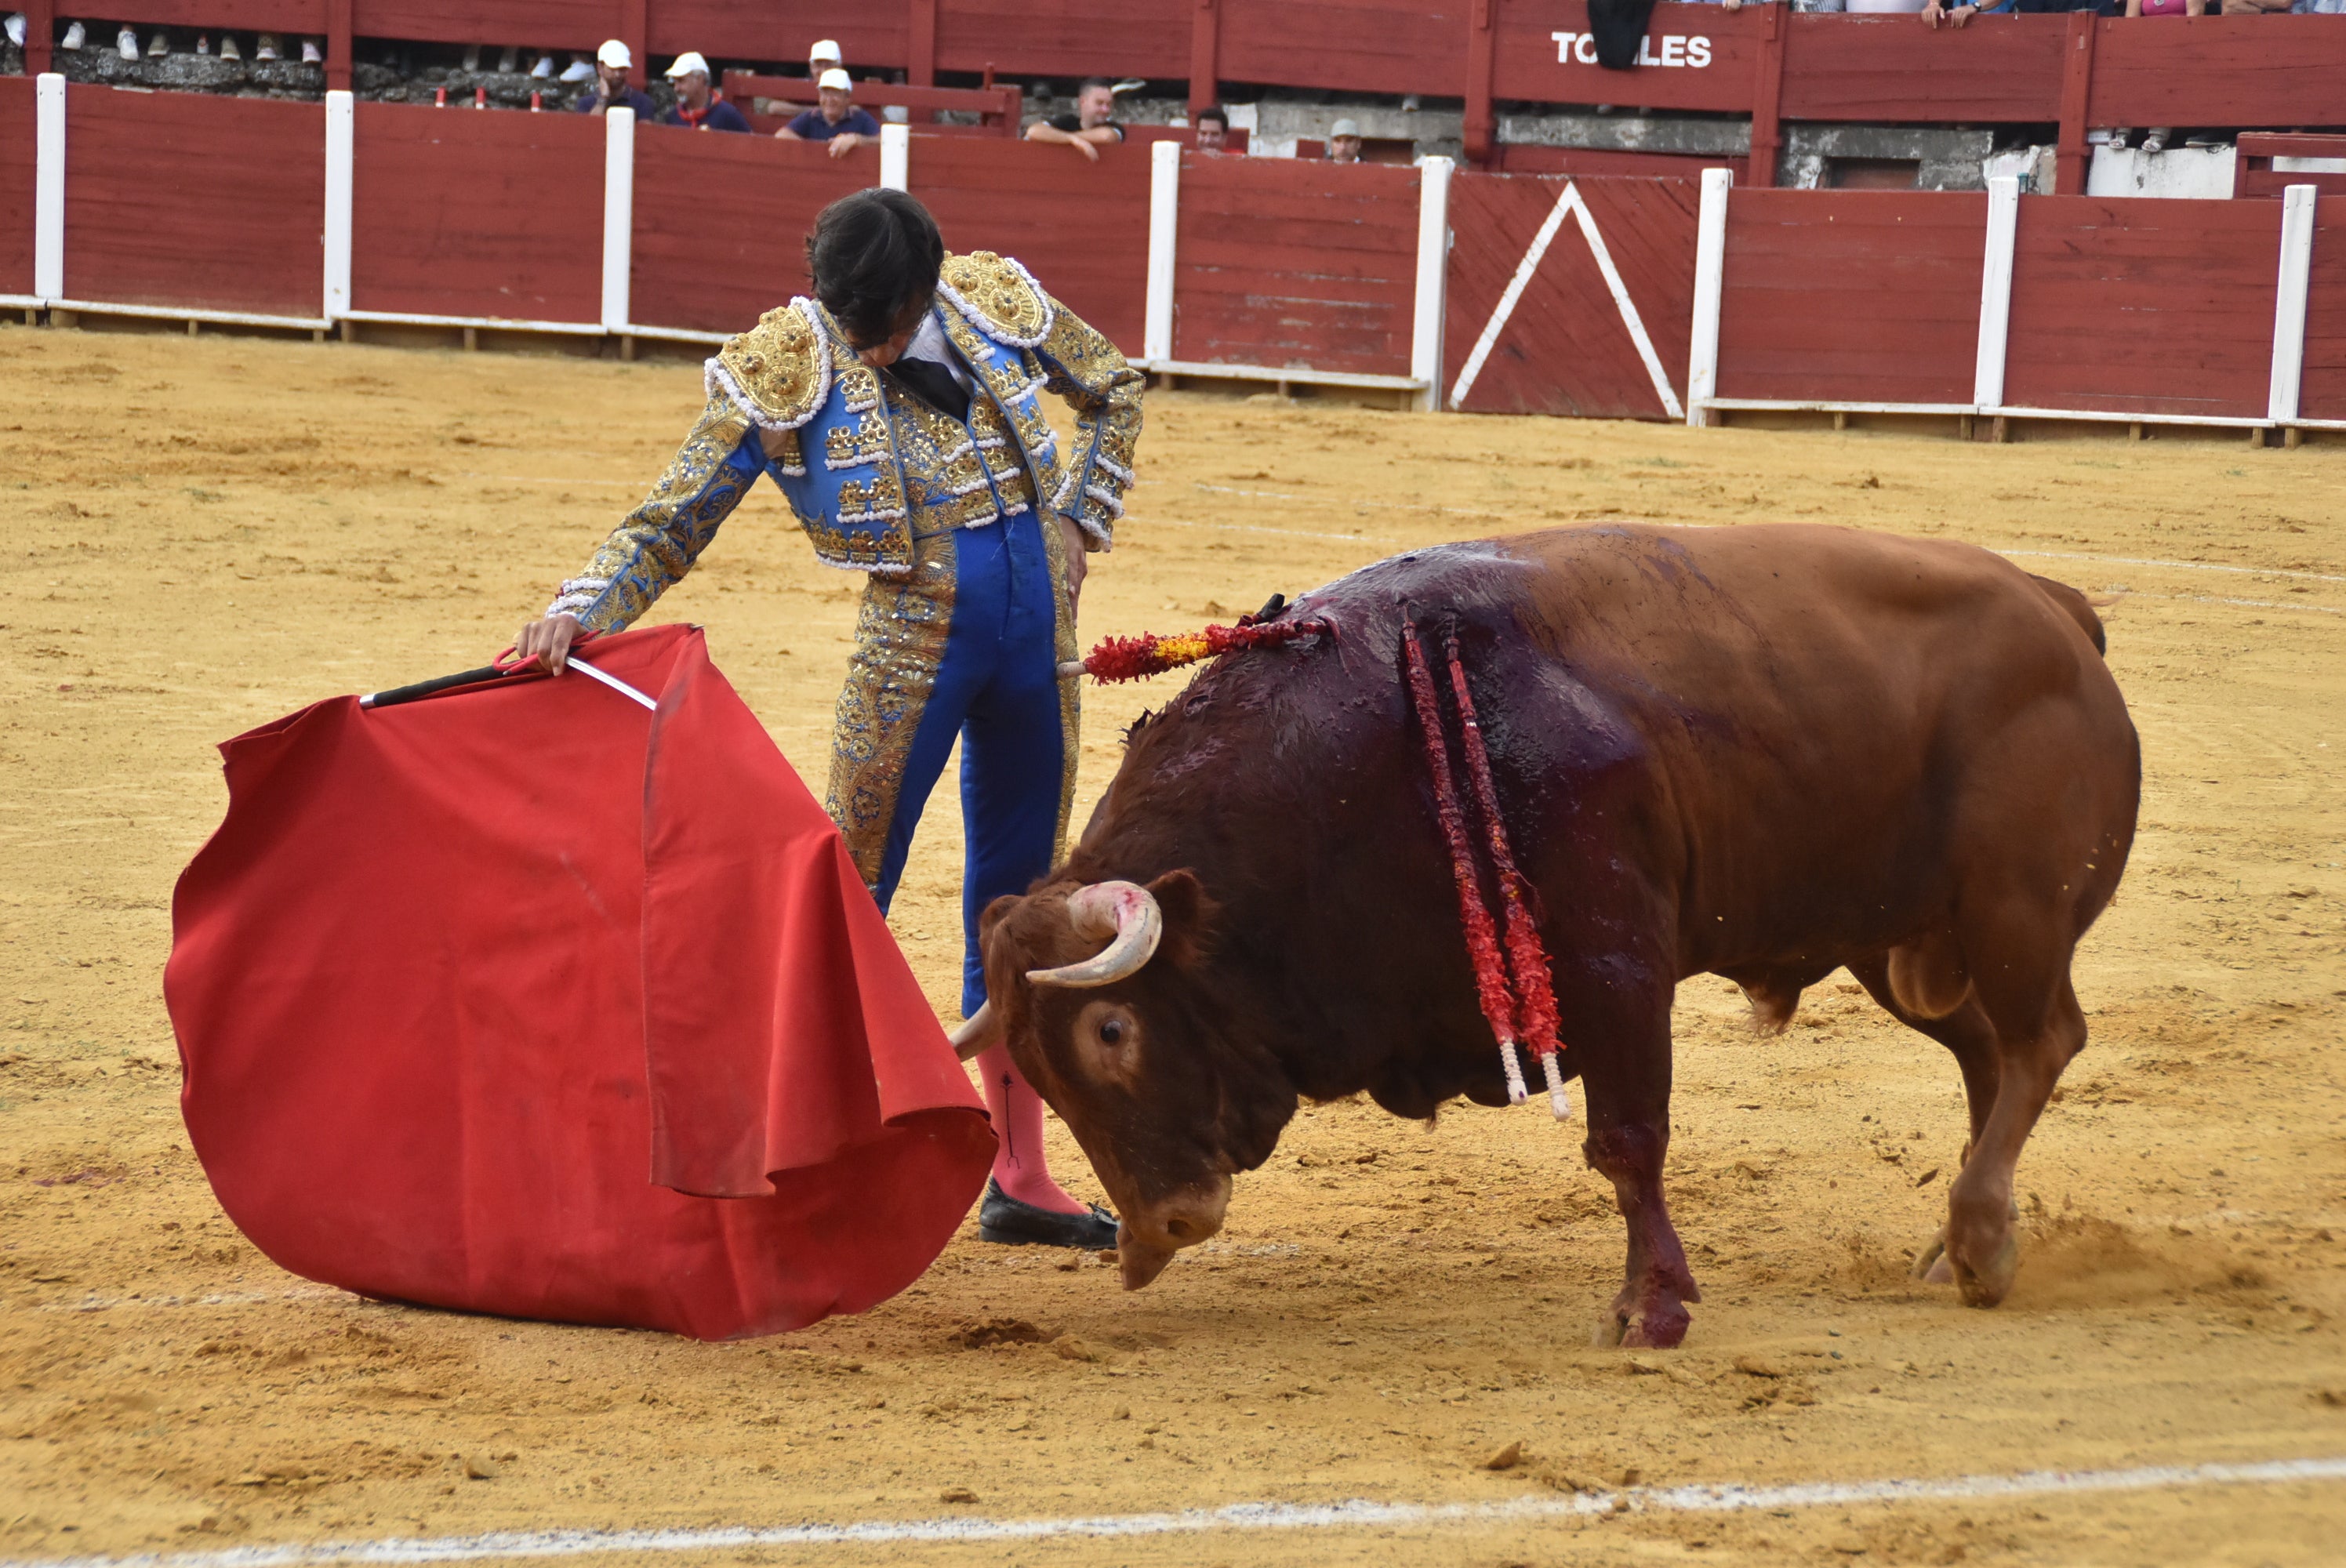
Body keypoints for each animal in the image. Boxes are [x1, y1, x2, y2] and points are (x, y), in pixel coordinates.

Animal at [942, 525, 2139, 1352]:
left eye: (1111, 1031)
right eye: (1033, 1068)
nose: (1155, 1233)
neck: (1367, 755)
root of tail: (2058, 609)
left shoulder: (1617, 964)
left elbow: (1626, 1142)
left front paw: (1652, 1309)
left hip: (2013, 911)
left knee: (2040, 1043)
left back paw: (1978, 1239)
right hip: (1892, 941)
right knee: (1987, 1054)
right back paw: (1960, 1245)